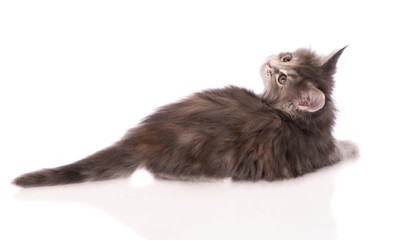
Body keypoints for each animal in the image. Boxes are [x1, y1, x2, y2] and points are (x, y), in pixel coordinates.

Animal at [13, 46, 358, 187]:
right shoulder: (321, 151)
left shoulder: (319, 152)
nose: (271, 63)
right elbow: (342, 148)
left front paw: (352, 146)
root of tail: (142, 135)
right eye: (286, 60)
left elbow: (340, 149)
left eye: (284, 77)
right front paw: (353, 145)